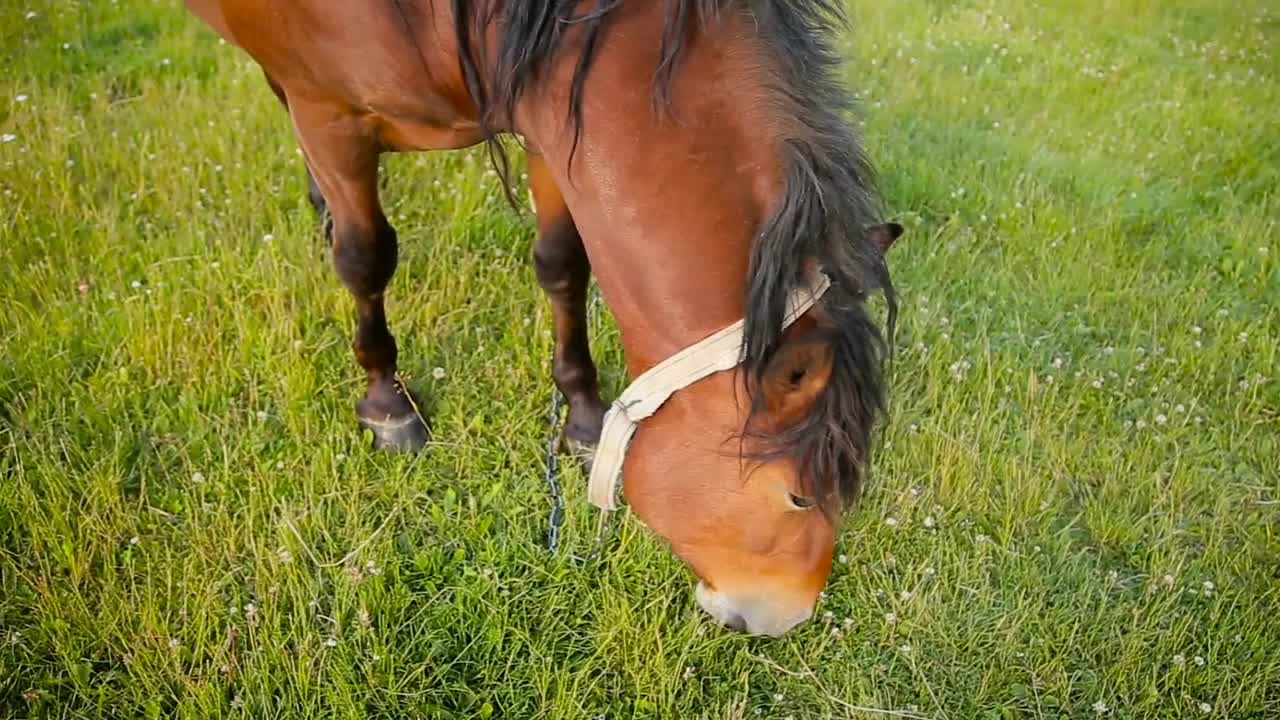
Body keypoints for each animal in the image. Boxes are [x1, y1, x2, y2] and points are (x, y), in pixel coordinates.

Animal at [183, 0, 901, 632]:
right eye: (799, 496)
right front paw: (387, 402)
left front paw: (581, 415)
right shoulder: (332, 119)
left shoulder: (550, 119)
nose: (787, 617)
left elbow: (561, 263)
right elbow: (367, 261)